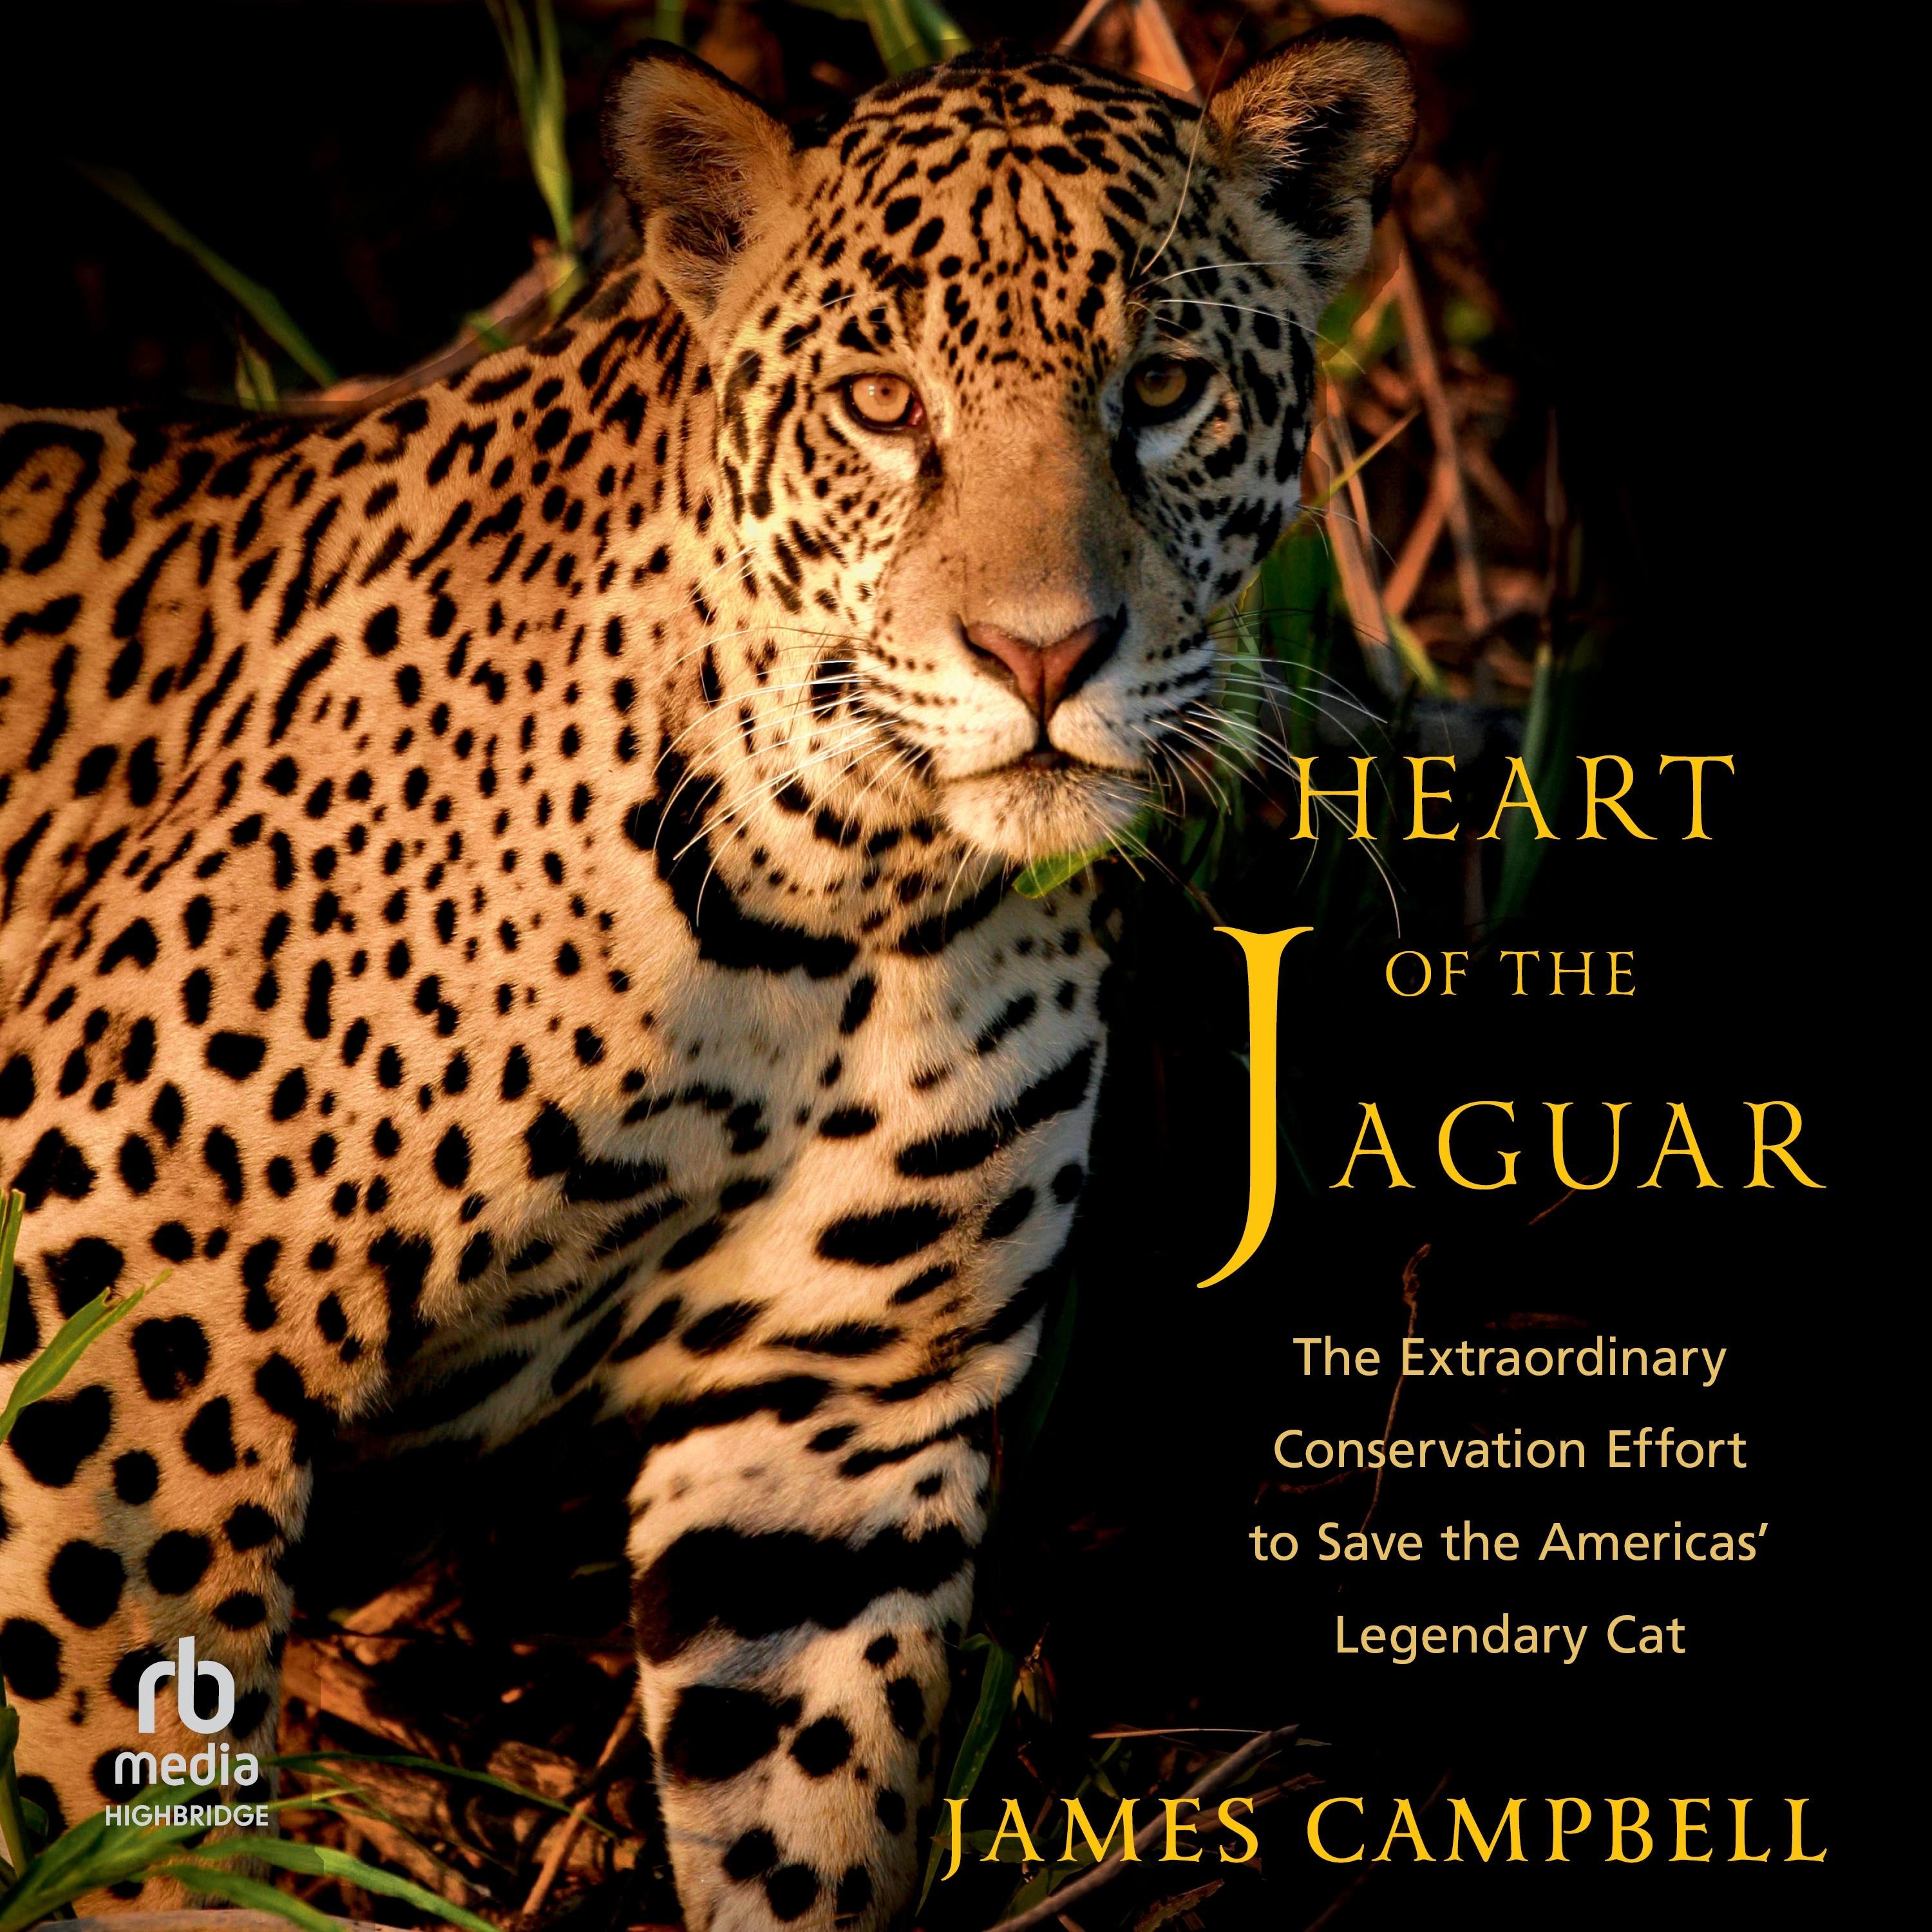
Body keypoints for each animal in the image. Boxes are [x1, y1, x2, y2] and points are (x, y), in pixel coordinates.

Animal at [0, 26, 1413, 1929]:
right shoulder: (124, 1270)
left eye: (1170, 385)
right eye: (881, 404)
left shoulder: (836, 1424)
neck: (840, 898)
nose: (1042, 653)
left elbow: (811, 1819)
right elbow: (132, 1780)